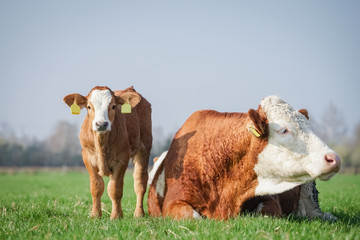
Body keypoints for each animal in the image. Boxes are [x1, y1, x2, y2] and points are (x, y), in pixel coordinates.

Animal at [64, 86, 151, 219]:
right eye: (89, 107)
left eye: (113, 106)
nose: (101, 124)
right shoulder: (87, 157)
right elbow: (96, 187)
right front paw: (95, 215)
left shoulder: (122, 159)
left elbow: (115, 189)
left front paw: (115, 216)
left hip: (144, 148)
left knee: (140, 182)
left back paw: (139, 213)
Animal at [146, 95, 340, 219]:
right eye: (284, 130)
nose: (334, 158)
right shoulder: (174, 201)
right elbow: (193, 216)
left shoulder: (270, 200)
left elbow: (263, 213)